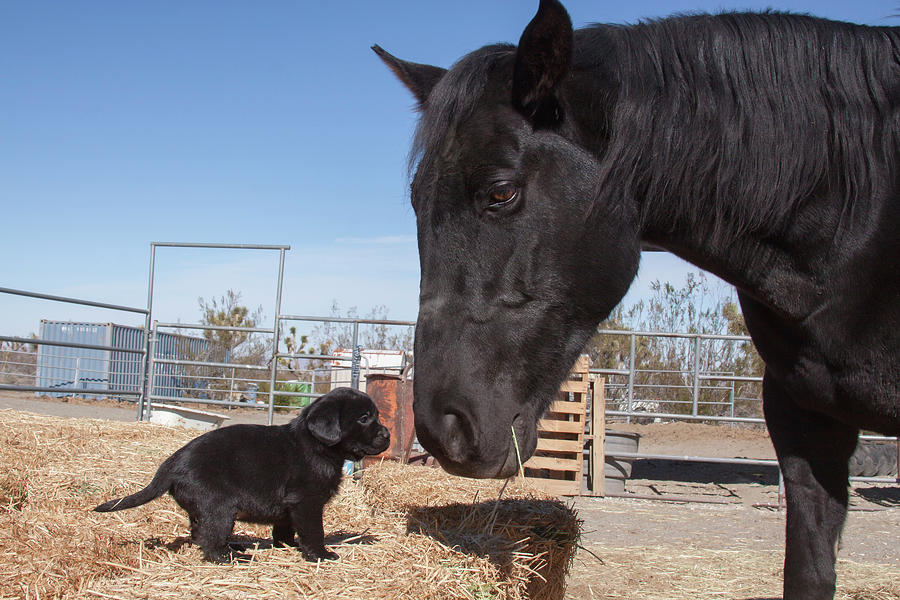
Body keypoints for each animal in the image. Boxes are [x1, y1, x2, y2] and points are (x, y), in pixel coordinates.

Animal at [96, 390, 390, 564]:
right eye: (364, 418)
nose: (387, 435)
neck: (317, 446)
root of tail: (171, 463)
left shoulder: (289, 507)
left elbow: (284, 528)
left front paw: (286, 545)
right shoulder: (306, 502)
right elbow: (313, 531)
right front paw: (320, 555)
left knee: (199, 532)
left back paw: (236, 548)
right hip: (220, 507)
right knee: (209, 540)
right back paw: (232, 557)